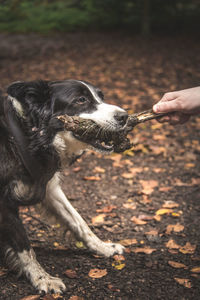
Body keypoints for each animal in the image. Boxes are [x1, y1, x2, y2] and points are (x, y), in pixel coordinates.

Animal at [0, 79, 128, 292]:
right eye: (81, 100)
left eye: (101, 96)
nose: (125, 116)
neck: (25, 136)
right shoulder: (4, 204)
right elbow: (24, 246)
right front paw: (42, 278)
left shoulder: (50, 188)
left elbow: (78, 221)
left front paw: (103, 247)